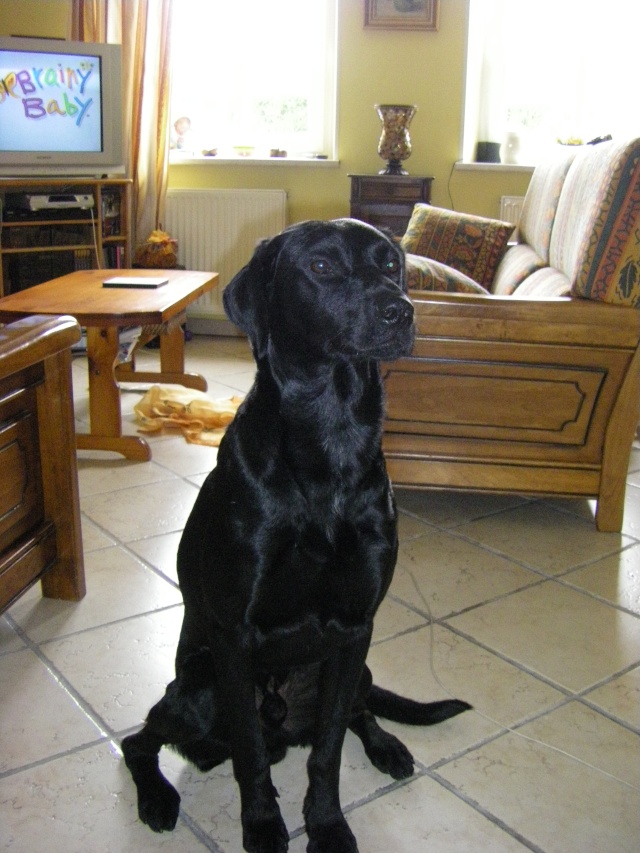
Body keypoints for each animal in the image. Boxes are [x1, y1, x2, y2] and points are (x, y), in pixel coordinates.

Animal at [122, 221, 470, 852]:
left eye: (391, 263)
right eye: (322, 267)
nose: (401, 310)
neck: (330, 440)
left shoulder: (356, 627)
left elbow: (327, 751)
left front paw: (327, 825)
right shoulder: (234, 636)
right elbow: (251, 754)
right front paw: (262, 825)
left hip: (354, 670)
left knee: (355, 713)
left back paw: (386, 745)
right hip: (197, 689)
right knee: (141, 741)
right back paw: (158, 798)